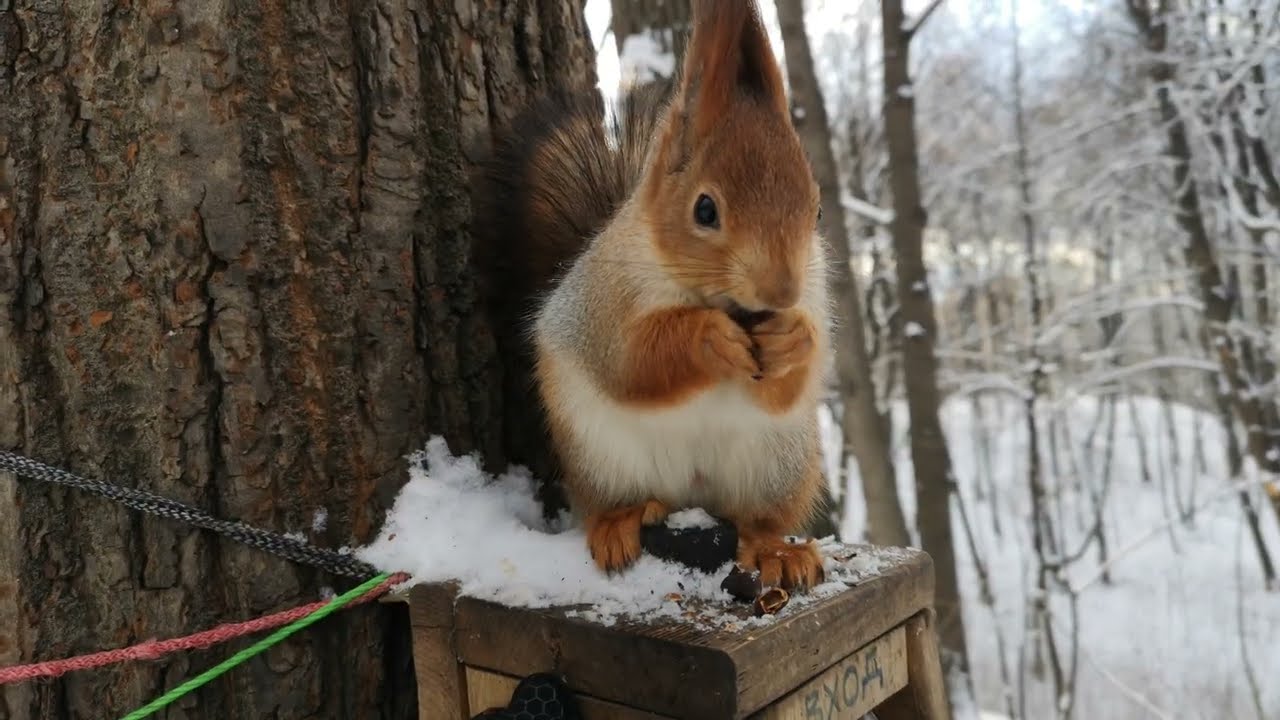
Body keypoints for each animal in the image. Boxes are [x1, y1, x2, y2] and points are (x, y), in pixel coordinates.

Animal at [473, 0, 832, 592]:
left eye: (817, 209)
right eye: (704, 210)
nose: (781, 291)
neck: (718, 300)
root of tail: (693, 492)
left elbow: (786, 389)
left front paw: (792, 339)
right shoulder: (601, 306)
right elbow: (630, 362)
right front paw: (707, 337)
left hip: (778, 466)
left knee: (755, 522)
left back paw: (777, 551)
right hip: (600, 456)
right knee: (619, 501)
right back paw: (620, 524)